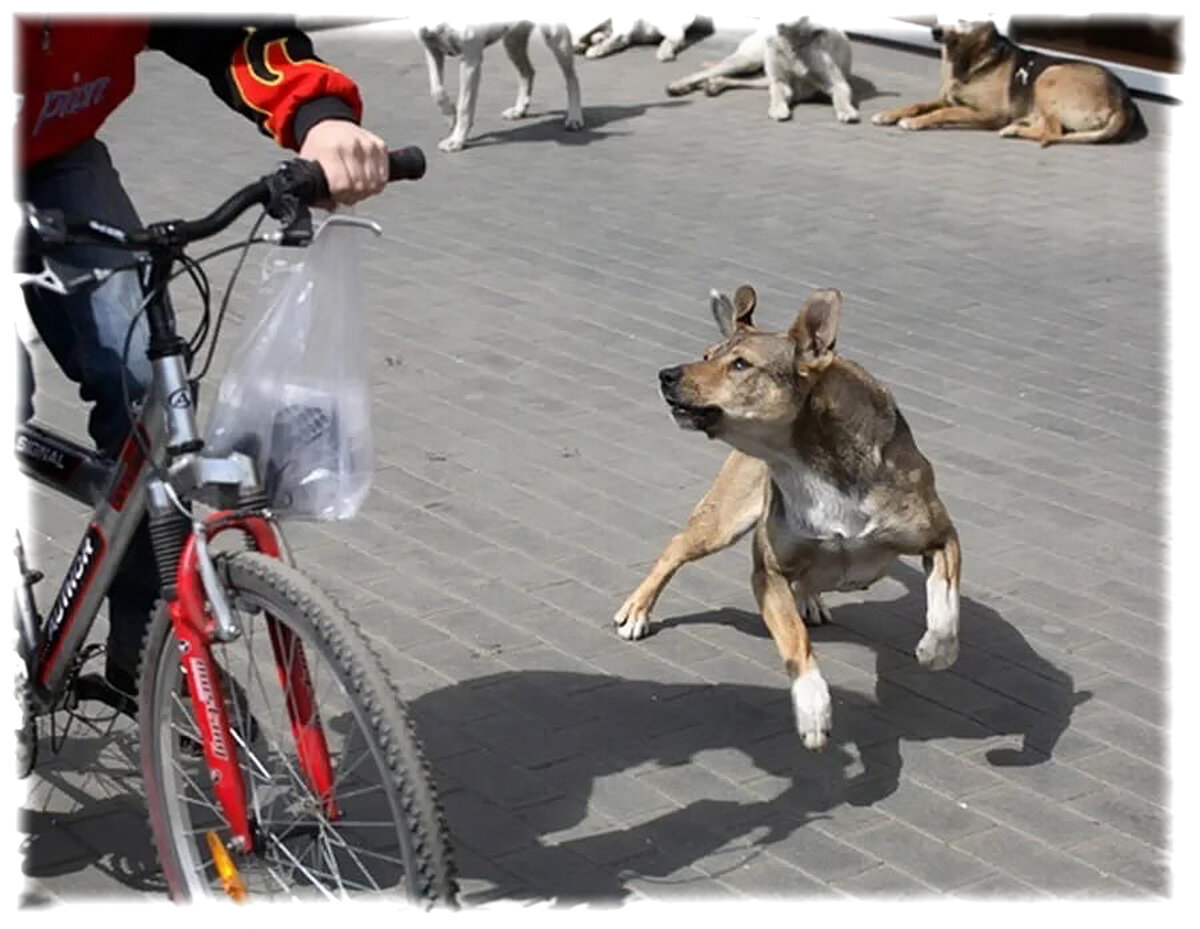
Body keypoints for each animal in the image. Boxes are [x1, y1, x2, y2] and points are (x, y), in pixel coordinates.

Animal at [415, 21, 583, 153]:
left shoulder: (470, 58)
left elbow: (465, 106)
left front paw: (456, 140)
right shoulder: (431, 48)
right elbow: (436, 90)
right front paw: (450, 116)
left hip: (556, 37)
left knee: (572, 78)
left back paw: (574, 117)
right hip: (512, 41)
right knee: (528, 72)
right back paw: (519, 109)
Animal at [614, 286, 960, 753]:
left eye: (740, 365)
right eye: (705, 355)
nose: (667, 375)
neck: (811, 463)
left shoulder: (939, 536)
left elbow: (945, 602)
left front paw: (938, 650)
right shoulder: (768, 573)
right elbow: (795, 641)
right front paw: (812, 706)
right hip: (723, 519)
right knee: (676, 548)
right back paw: (637, 610)